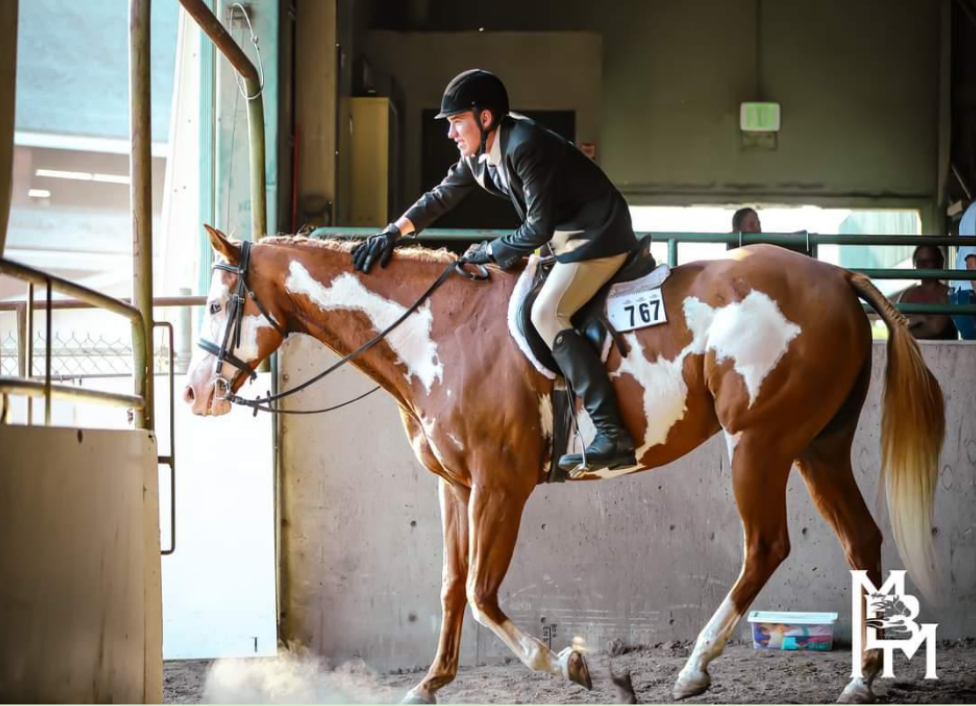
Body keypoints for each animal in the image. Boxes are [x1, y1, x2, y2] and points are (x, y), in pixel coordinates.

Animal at [183, 224, 945, 704]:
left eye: (218, 303)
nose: (193, 394)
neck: (436, 332)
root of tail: (836, 276)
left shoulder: (501, 486)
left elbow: (484, 594)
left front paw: (572, 664)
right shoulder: (454, 488)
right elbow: (451, 588)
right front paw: (429, 684)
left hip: (758, 444)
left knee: (767, 547)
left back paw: (695, 669)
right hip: (817, 446)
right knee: (860, 542)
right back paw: (861, 677)